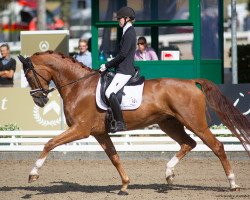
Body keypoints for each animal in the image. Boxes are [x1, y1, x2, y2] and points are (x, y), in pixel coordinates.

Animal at [18, 50, 250, 195]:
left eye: (29, 75)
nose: (39, 100)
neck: (79, 86)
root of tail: (191, 82)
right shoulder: (99, 133)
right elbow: (115, 158)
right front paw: (124, 186)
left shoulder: (81, 129)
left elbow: (49, 143)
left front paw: (33, 174)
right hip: (169, 123)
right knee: (188, 143)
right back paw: (168, 173)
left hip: (195, 123)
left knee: (217, 146)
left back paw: (233, 183)